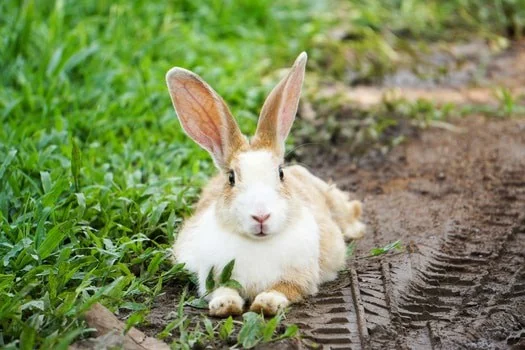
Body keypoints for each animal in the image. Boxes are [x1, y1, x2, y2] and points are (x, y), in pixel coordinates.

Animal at [166, 52, 362, 318]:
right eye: (231, 178)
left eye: (280, 173)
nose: (261, 216)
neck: (258, 243)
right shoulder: (211, 275)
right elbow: (222, 290)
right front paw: (224, 306)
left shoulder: (299, 277)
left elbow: (283, 288)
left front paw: (267, 303)